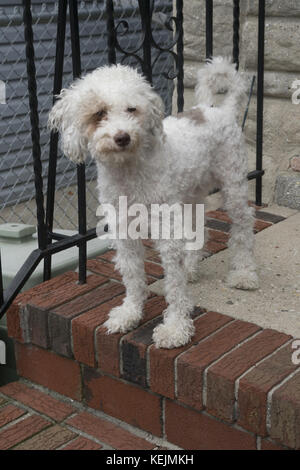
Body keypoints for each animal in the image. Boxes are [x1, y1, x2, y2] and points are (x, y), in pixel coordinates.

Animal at [48, 57, 258, 348]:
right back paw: (191, 266)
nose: (122, 137)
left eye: (132, 109)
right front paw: (130, 313)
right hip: (190, 195)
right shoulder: (123, 231)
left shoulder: (165, 229)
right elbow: (133, 275)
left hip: (233, 183)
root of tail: (215, 109)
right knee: (198, 229)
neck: (130, 171)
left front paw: (175, 327)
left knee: (243, 225)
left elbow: (174, 283)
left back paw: (244, 273)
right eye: (99, 113)